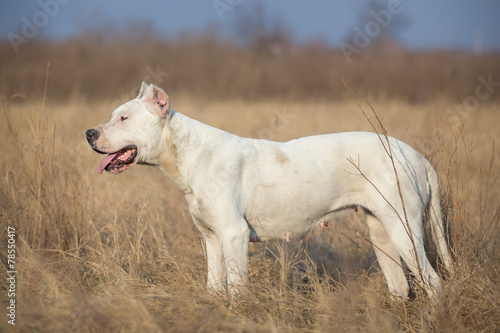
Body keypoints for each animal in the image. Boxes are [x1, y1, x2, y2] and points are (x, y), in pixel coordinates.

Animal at [87, 83, 454, 298]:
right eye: (113, 115)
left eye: (123, 118)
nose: (89, 133)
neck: (188, 153)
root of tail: (417, 156)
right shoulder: (212, 239)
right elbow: (215, 287)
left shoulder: (233, 235)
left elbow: (237, 289)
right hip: (382, 235)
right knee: (401, 285)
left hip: (403, 231)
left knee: (433, 282)